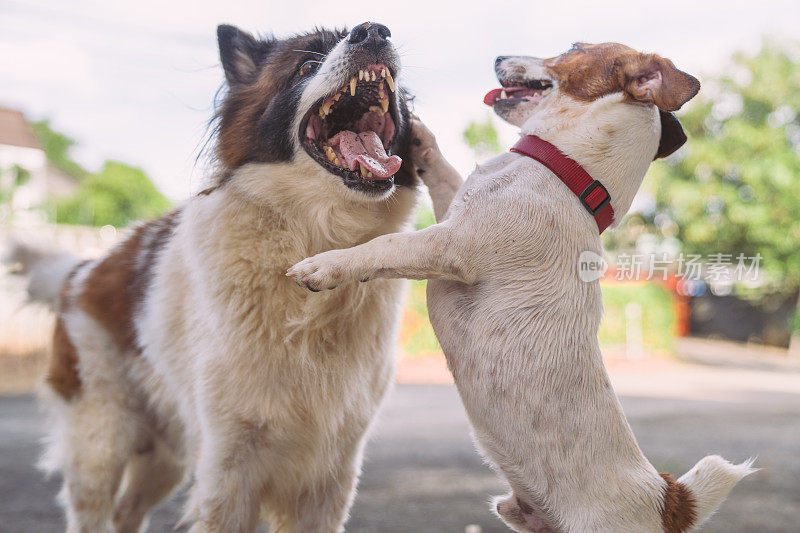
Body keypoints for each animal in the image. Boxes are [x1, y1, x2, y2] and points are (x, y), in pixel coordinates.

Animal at [14, 21, 418, 532]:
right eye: (306, 65)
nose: (374, 30)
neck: (310, 240)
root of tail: (80, 270)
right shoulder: (229, 464)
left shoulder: (330, 475)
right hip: (99, 443)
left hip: (164, 455)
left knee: (127, 512)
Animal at [290, 42, 756, 532]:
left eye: (573, 47)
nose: (498, 56)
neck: (568, 172)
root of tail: (666, 497)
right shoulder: (454, 213)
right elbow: (445, 175)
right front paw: (421, 137)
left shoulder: (449, 246)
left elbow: (382, 247)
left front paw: (323, 266)